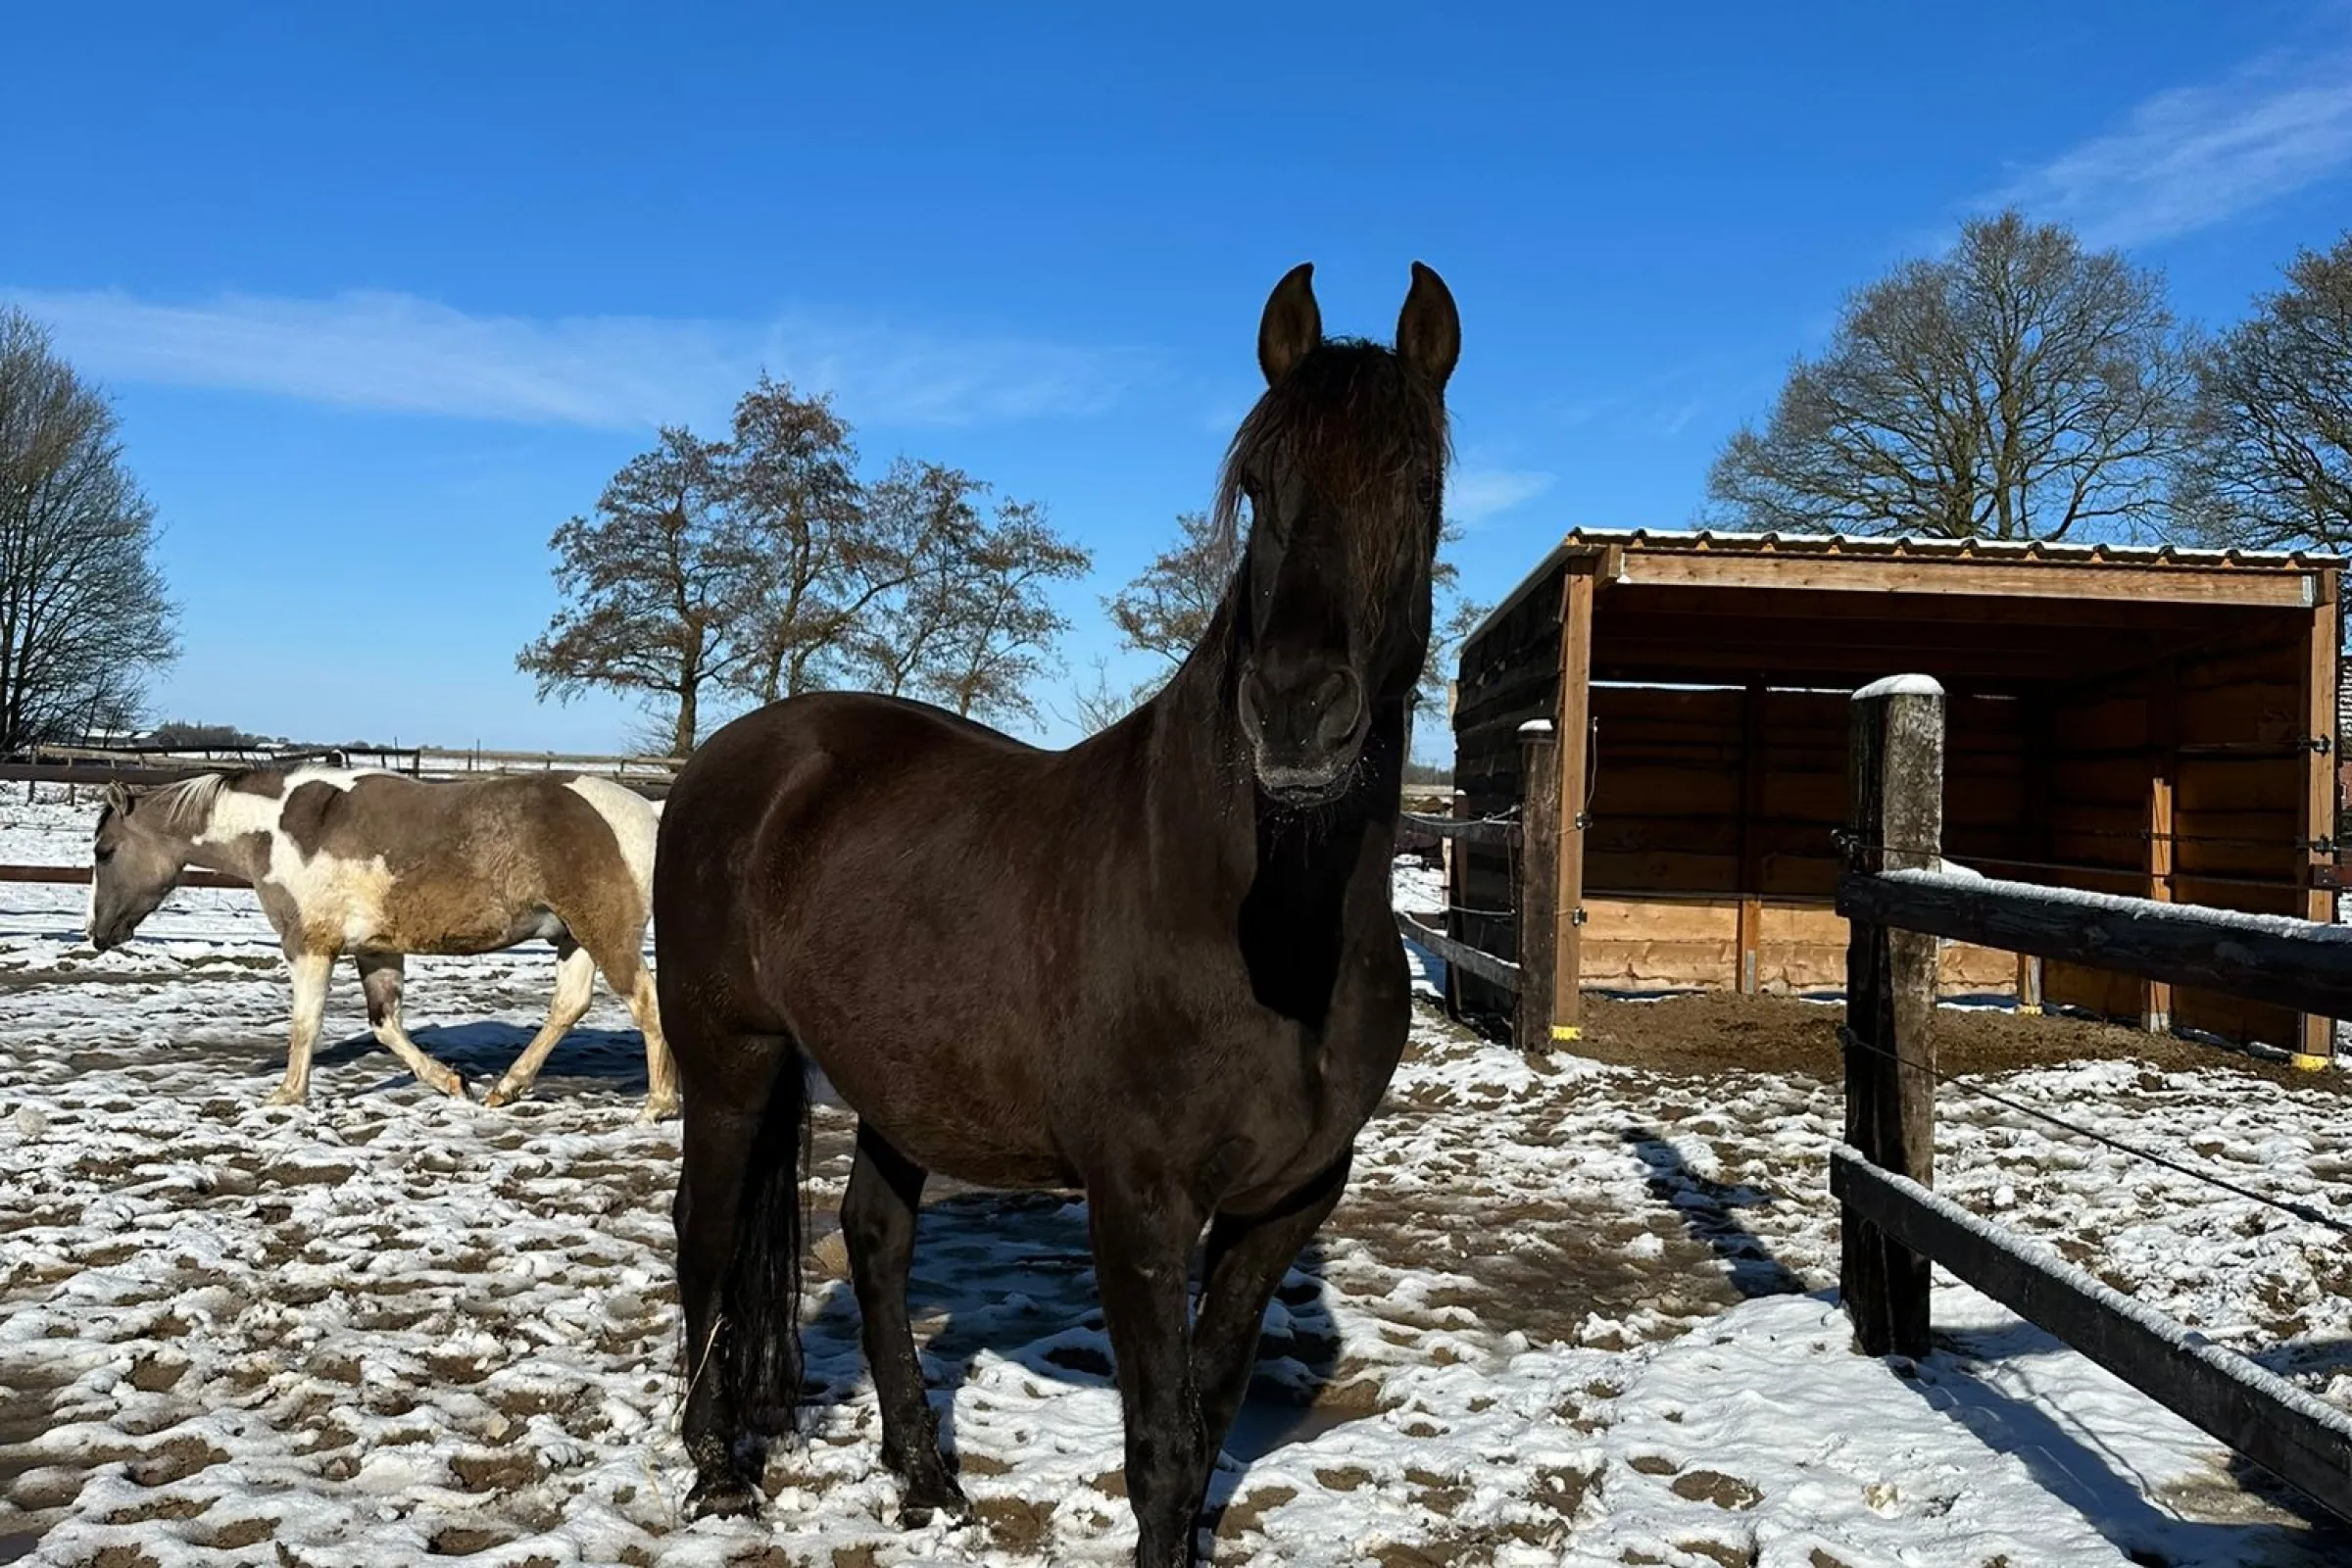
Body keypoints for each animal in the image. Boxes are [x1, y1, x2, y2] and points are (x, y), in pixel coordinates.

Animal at [84, 765, 679, 1120]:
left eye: (104, 851)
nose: (96, 934)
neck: (278, 831)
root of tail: (647, 811)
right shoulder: (377, 948)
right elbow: (386, 1025)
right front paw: (451, 1082)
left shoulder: (309, 946)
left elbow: (305, 1024)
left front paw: (287, 1094)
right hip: (573, 938)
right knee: (568, 1006)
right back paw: (504, 1088)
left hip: (606, 934)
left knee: (645, 1003)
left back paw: (657, 1104)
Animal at [652, 260, 1456, 1566]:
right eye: (1258, 487)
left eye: (1419, 486)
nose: (1294, 714)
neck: (1270, 935)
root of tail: (737, 755)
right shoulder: (1137, 1202)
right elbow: (1162, 1446)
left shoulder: (1286, 1203)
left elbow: (1208, 1419)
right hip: (733, 1063)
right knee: (705, 1238)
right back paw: (720, 1469)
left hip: (897, 1081)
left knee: (873, 1239)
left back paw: (925, 1477)